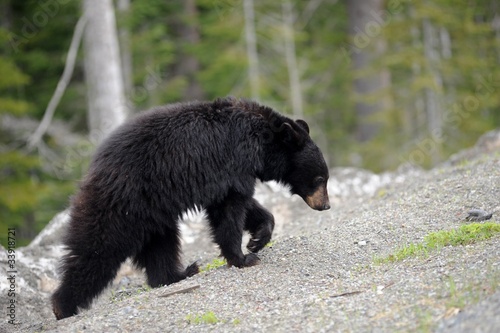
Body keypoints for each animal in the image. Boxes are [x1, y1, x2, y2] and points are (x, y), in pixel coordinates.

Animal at [51, 96, 332, 320]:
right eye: (320, 179)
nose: (326, 205)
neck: (259, 141)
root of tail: (94, 168)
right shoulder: (231, 163)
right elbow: (229, 212)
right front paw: (242, 257)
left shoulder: (232, 175)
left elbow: (243, 205)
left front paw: (257, 240)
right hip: (123, 202)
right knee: (98, 247)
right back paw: (62, 306)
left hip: (152, 211)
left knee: (160, 244)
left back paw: (178, 274)